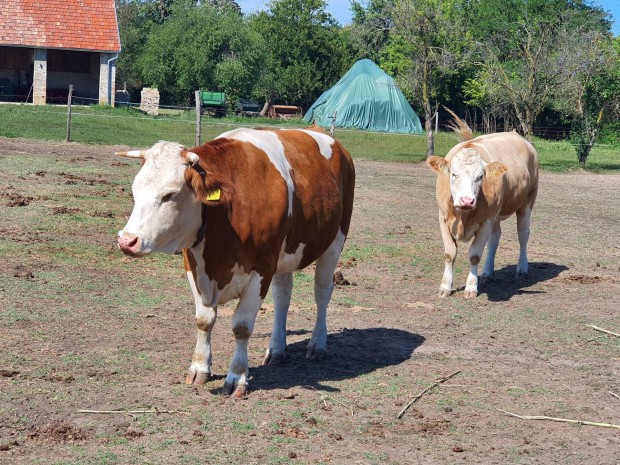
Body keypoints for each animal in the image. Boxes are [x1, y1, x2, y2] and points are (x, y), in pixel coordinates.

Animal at [117, 127, 354, 396]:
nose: (127, 240)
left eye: (170, 195)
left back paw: (318, 344)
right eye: (135, 190)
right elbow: (204, 320)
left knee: (322, 292)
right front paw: (199, 368)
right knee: (282, 296)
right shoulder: (194, 265)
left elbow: (241, 326)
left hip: (334, 242)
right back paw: (277, 349)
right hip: (284, 254)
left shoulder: (262, 267)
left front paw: (237, 376)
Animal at [426, 118, 536, 300]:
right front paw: (445, 286)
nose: (467, 200)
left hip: (526, 204)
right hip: (497, 214)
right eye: (454, 174)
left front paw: (471, 287)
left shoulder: (485, 221)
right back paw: (487, 273)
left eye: (480, 176)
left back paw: (522, 268)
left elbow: (475, 255)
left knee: (523, 234)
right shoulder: (443, 218)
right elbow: (450, 254)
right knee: (495, 237)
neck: (463, 216)